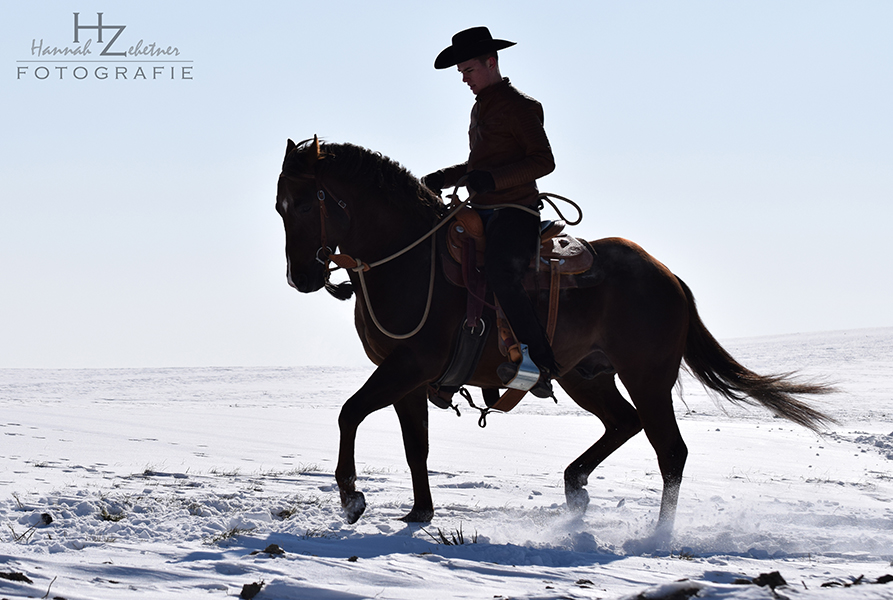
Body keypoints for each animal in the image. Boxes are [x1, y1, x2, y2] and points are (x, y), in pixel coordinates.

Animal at [276, 138, 832, 540]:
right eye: (280, 207)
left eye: (300, 204)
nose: (300, 278)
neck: (408, 257)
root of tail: (666, 275)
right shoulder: (406, 376)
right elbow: (417, 447)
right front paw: (419, 513)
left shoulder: (411, 363)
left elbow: (350, 412)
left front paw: (351, 497)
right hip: (586, 376)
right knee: (624, 423)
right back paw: (575, 486)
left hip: (647, 376)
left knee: (670, 450)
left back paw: (658, 533)